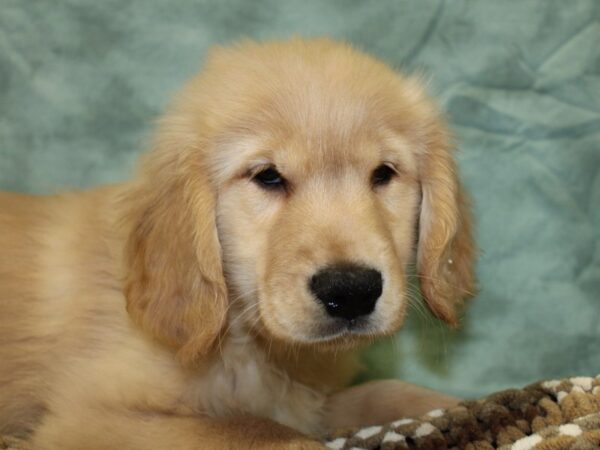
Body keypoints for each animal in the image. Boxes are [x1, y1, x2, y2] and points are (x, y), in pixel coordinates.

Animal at [1, 38, 474, 450]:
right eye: (268, 176)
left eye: (384, 173)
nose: (352, 290)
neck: (243, 337)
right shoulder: (86, 420)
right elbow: (257, 430)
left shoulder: (311, 402)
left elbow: (383, 391)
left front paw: (453, 406)